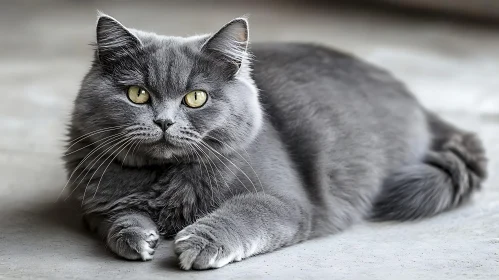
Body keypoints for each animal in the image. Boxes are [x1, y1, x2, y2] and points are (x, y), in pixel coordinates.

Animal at [62, 14, 488, 270]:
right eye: (138, 94)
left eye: (196, 98)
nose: (164, 122)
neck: (165, 177)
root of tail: (417, 101)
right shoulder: (95, 204)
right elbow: (116, 218)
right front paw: (136, 237)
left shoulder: (283, 200)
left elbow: (242, 214)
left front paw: (198, 243)